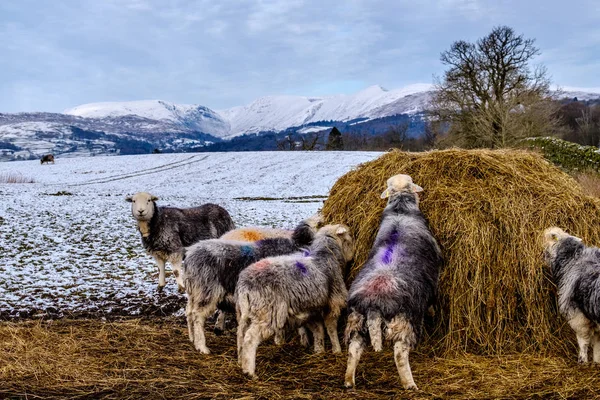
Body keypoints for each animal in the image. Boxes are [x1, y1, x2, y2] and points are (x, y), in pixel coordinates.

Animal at [183, 216, 324, 354]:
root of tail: (189, 256)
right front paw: (293, 340)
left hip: (195, 292)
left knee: (189, 312)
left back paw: (192, 338)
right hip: (207, 291)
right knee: (197, 316)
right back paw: (202, 347)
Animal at [236, 225, 356, 378]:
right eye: (349, 238)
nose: (353, 256)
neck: (326, 255)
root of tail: (245, 285)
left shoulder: (312, 308)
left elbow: (318, 330)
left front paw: (319, 350)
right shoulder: (332, 302)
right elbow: (331, 328)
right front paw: (337, 350)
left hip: (245, 311)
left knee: (240, 334)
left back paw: (241, 361)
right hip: (266, 312)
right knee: (250, 338)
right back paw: (250, 372)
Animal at [342, 173, 440, 390]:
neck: (400, 209)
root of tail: (373, 305)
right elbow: (433, 304)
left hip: (357, 321)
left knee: (353, 350)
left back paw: (349, 380)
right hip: (402, 321)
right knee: (400, 355)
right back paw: (410, 384)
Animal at [540, 227, 600, 364]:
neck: (573, 260)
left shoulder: (579, 316)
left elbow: (583, 340)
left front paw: (582, 361)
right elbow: (597, 342)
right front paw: (597, 361)